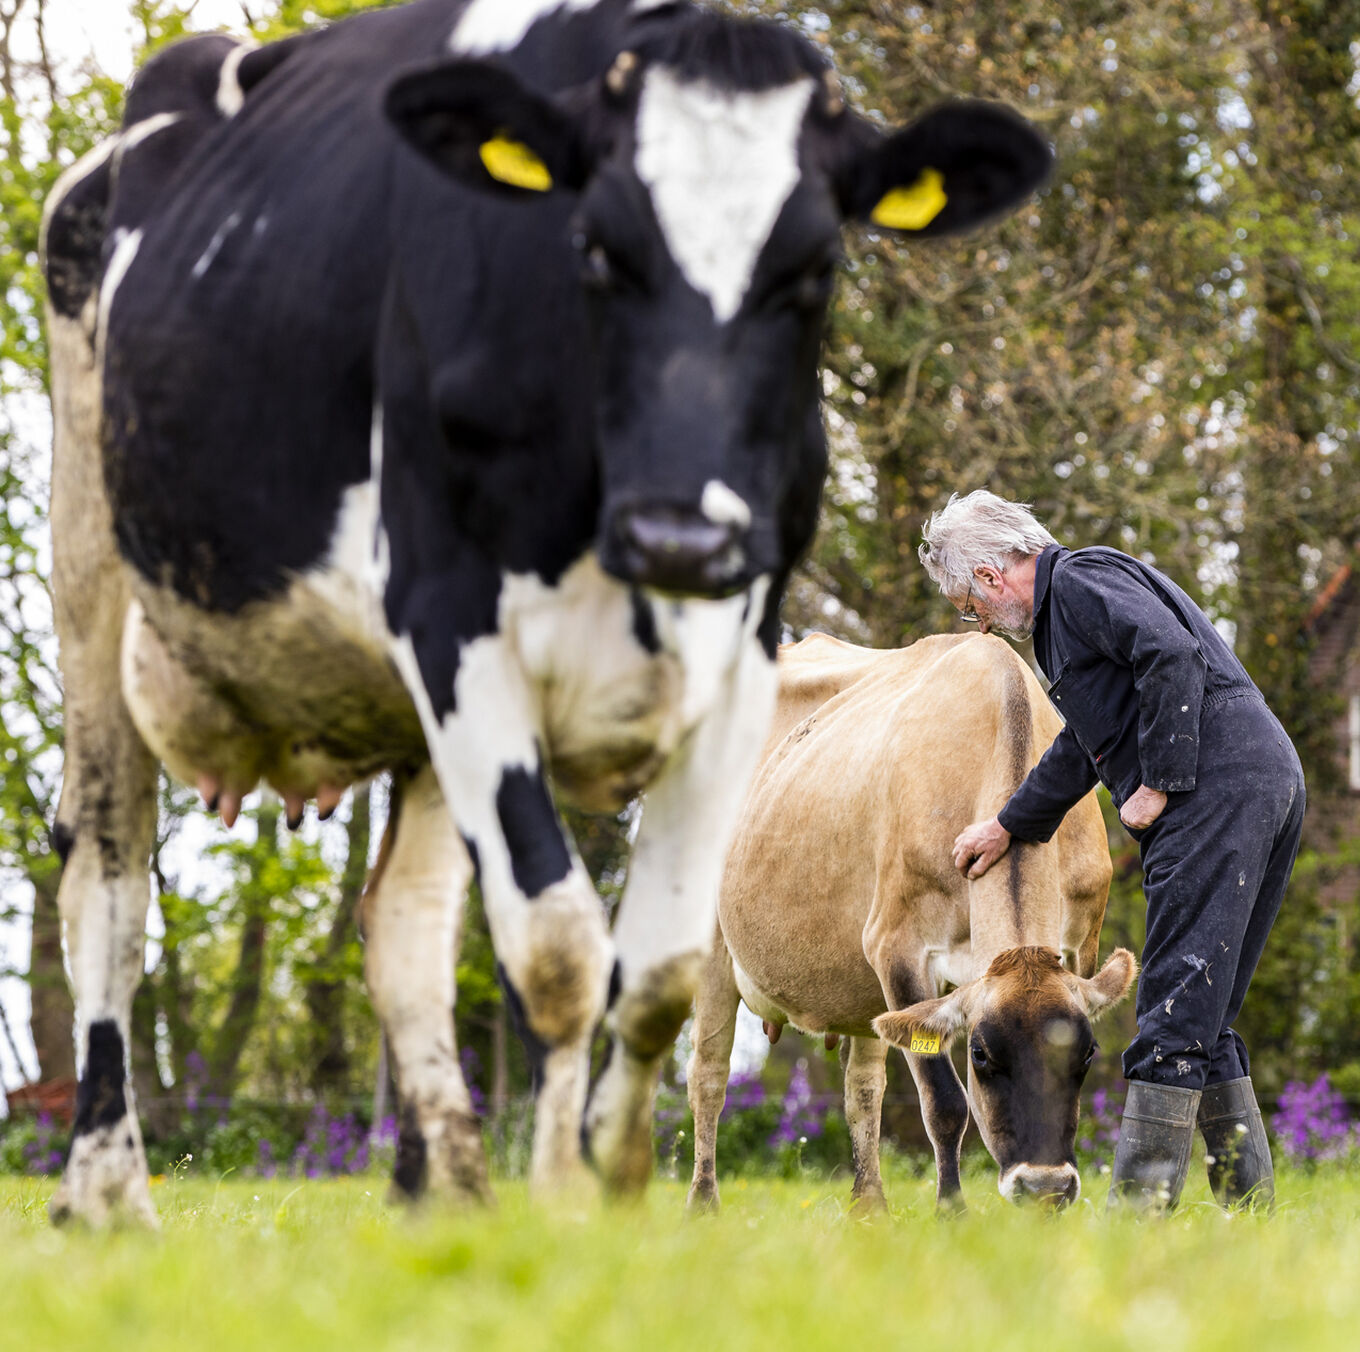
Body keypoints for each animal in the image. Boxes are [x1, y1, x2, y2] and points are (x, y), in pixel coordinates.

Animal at [40, 0, 1051, 1225]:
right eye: (595, 249)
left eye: (814, 266)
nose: (680, 535)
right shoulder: (455, 625)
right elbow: (565, 948)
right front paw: (570, 1200)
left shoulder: (736, 661)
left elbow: (649, 968)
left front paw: (609, 1188)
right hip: (94, 575)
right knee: (105, 876)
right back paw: (106, 1192)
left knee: (401, 916)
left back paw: (445, 1189)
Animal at [686, 632, 1134, 1212]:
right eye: (980, 1054)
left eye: (1087, 1053)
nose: (1043, 1186)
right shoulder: (898, 948)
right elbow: (943, 1102)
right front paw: (951, 1211)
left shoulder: (1082, 942)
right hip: (711, 944)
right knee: (708, 1075)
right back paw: (703, 1202)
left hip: (860, 986)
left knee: (862, 1086)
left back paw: (870, 1208)